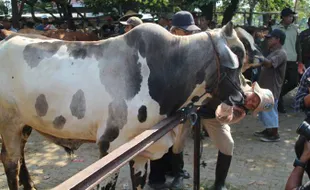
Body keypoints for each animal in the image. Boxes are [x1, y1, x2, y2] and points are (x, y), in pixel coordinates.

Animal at [0, 21, 247, 189]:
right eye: (238, 54)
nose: (242, 98)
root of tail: (7, 37)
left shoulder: (140, 151)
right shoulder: (109, 146)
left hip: (25, 123)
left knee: (20, 155)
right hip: (8, 123)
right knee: (11, 161)